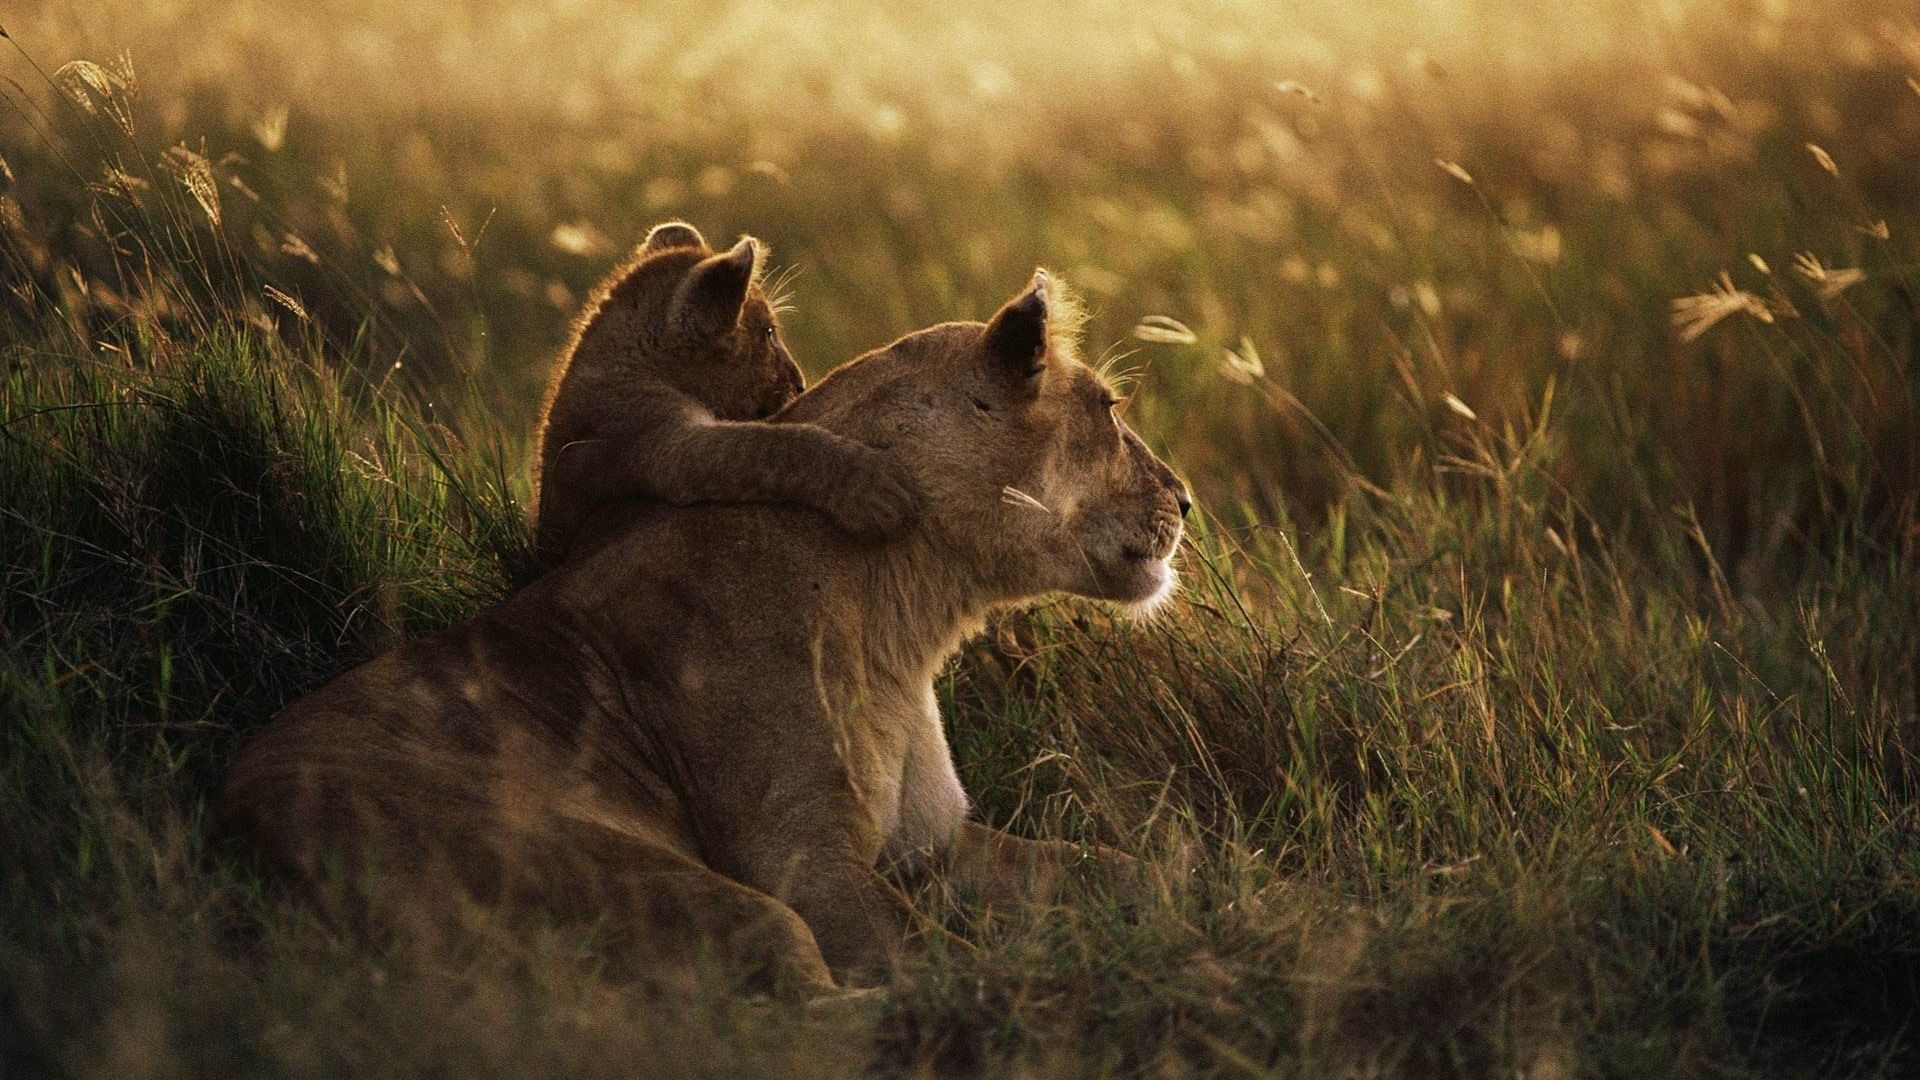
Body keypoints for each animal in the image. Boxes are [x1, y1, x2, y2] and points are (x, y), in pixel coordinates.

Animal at [223, 268, 1191, 997]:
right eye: (1109, 409)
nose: (1185, 500)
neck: (907, 613)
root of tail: (231, 832)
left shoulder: (935, 843)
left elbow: (1122, 866)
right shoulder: (803, 861)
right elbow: (945, 965)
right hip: (652, 881)